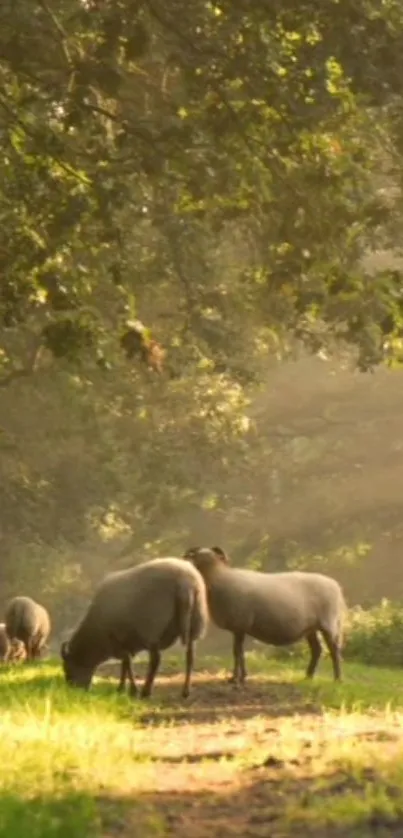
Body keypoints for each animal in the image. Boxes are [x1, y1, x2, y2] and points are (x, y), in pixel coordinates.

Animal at [62, 556, 211, 704]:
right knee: (190, 656)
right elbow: (125, 664)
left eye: (68, 668)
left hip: (153, 628)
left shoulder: (119, 639)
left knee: (155, 660)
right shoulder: (125, 642)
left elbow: (127, 664)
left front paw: (129, 690)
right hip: (196, 622)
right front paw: (124, 689)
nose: (74, 690)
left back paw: (146, 692)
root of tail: (185, 583)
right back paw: (185, 692)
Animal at [185, 548, 346, 684]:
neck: (217, 576)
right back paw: (308, 677)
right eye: (196, 556)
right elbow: (238, 652)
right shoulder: (238, 628)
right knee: (317, 650)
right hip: (310, 627)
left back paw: (337, 679)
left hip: (329, 623)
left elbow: (237, 652)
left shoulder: (240, 624)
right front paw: (238, 677)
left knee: (334, 650)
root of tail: (336, 586)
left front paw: (238, 678)